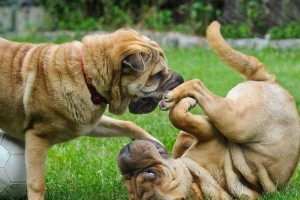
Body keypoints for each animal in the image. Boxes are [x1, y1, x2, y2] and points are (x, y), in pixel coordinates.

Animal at [0, 28, 183, 199]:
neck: (87, 75)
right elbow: (36, 182)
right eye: (158, 74)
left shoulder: (88, 122)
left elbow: (127, 124)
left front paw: (156, 144)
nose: (181, 79)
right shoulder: (37, 137)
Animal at [117, 21, 300, 199]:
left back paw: (174, 97)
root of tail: (271, 81)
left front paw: (185, 103)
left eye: (151, 174)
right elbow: (180, 122)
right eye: (126, 181)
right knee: (198, 87)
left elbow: (177, 117)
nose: (126, 157)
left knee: (197, 84)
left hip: (234, 123)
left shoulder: (206, 133)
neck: (199, 179)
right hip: (233, 120)